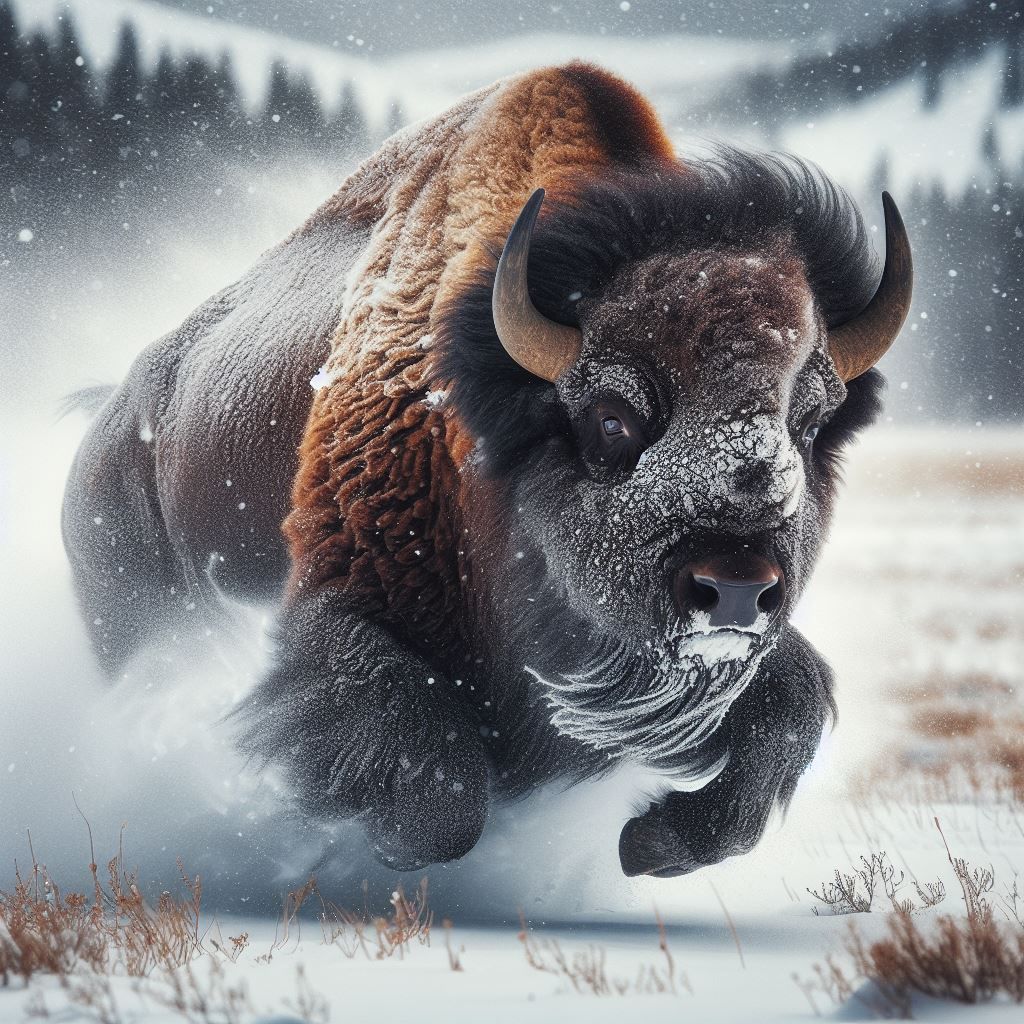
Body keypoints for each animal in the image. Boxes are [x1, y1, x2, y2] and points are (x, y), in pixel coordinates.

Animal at [62, 63, 912, 876]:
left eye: (808, 424)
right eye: (611, 417)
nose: (734, 588)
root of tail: (112, 415)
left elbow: (792, 706)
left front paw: (652, 843)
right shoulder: (335, 613)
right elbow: (439, 793)